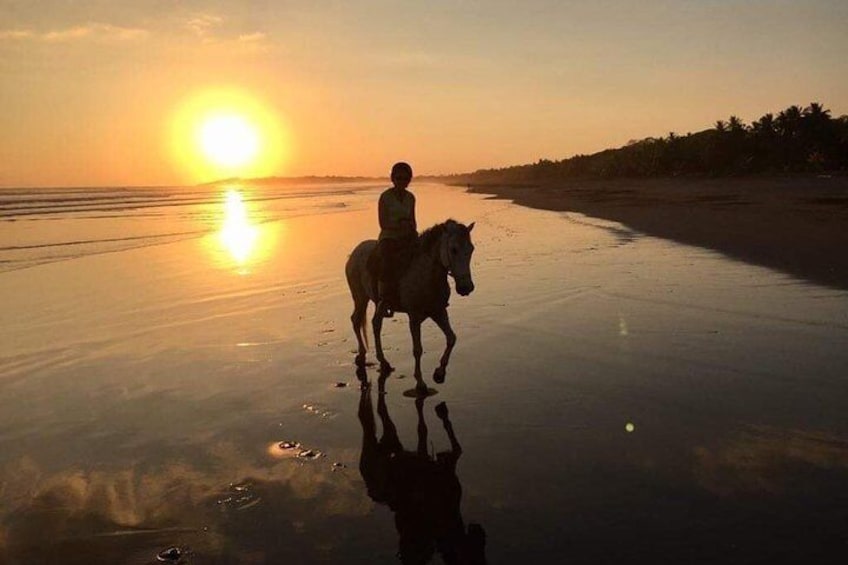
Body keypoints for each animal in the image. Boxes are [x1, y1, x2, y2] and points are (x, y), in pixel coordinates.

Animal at [346, 218, 476, 394]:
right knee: (356, 320)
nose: (466, 287)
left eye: (471, 249)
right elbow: (418, 349)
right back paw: (362, 354)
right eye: (453, 249)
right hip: (360, 298)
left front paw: (439, 373)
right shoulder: (414, 317)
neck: (426, 273)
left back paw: (383, 362)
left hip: (377, 303)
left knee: (375, 324)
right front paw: (420, 383)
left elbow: (451, 338)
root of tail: (354, 252)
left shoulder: (439, 311)